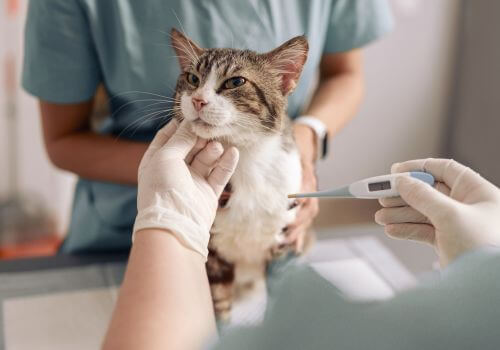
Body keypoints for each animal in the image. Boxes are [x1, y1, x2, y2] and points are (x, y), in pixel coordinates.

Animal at [172, 28, 312, 322]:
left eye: (236, 81)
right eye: (192, 78)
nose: (198, 100)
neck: (245, 160)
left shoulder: (285, 235)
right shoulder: (213, 256)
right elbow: (218, 303)